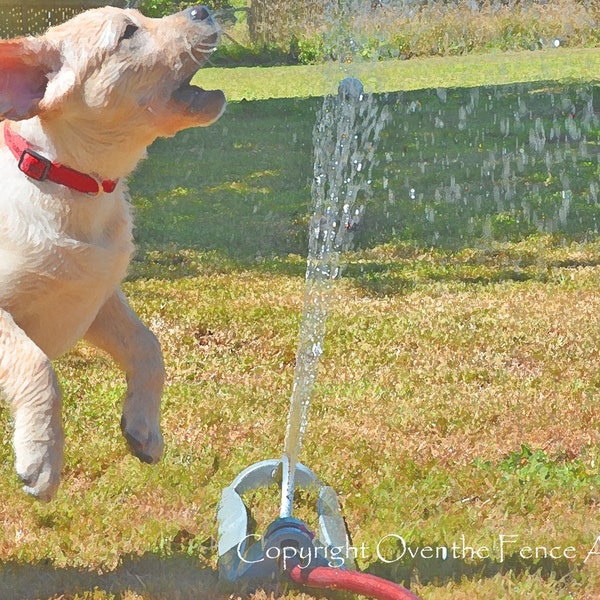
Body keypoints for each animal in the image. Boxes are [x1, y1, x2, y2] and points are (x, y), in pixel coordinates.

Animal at [0, 7, 227, 500]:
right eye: (128, 33)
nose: (201, 9)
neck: (73, 184)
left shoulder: (97, 297)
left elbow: (147, 345)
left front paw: (145, 429)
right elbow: (36, 363)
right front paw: (42, 457)